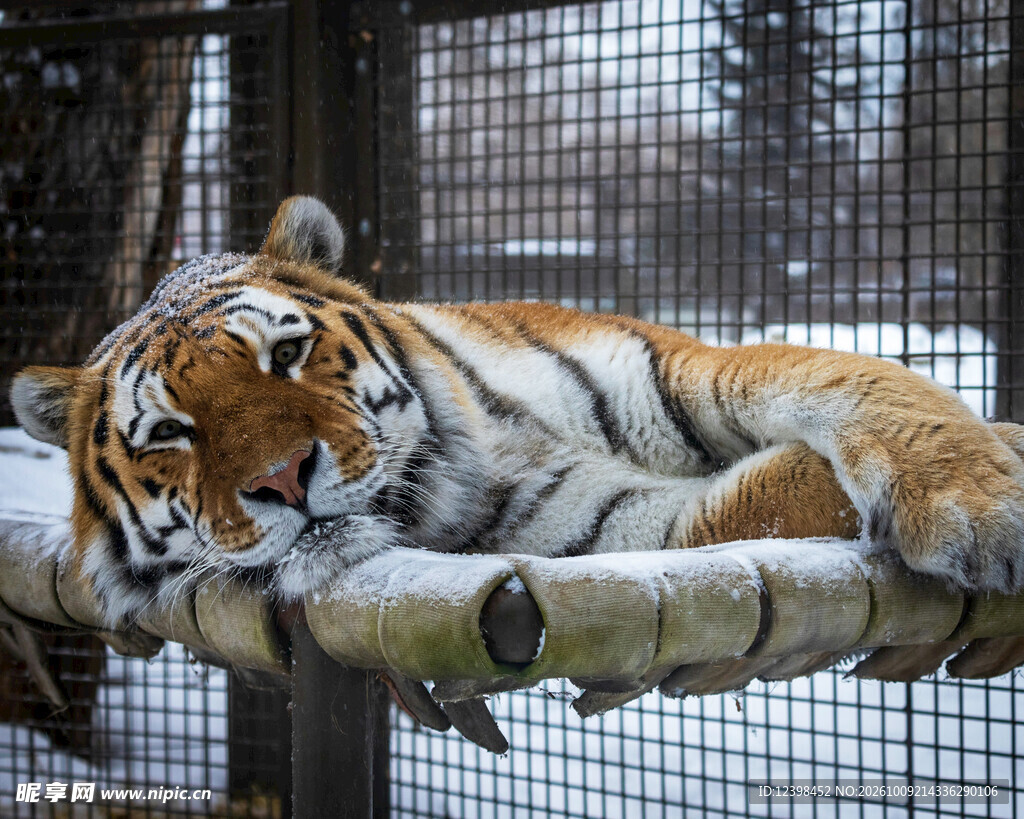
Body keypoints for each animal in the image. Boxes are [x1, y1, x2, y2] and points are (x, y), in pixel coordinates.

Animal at [11, 195, 1024, 626]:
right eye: (171, 433)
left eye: (286, 356)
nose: (281, 479)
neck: (495, 445)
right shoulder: (617, 530)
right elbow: (781, 492)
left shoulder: (684, 365)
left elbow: (850, 379)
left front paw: (979, 498)